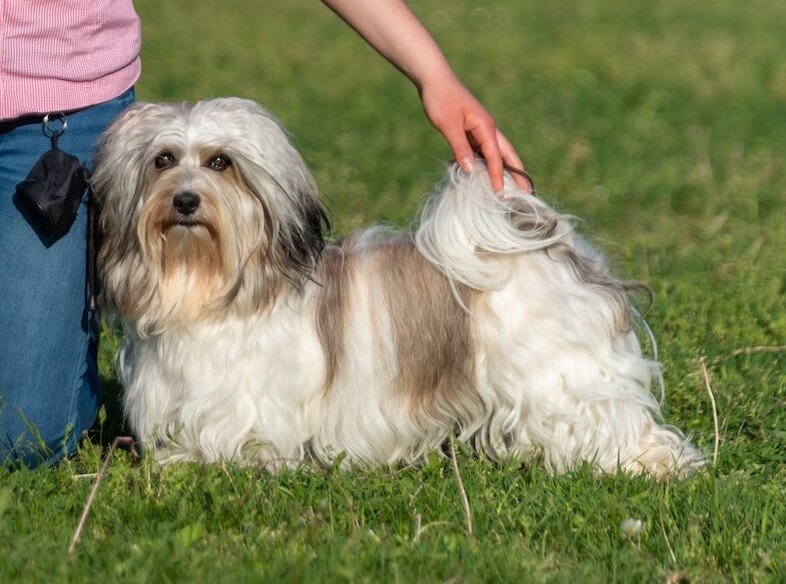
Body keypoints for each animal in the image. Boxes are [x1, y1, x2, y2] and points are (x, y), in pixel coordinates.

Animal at [93, 97, 704, 480]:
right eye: (163, 160)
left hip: (563, 375)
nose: (185, 199)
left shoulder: (248, 403)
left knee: (614, 420)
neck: (210, 284)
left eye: (220, 162)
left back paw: (652, 464)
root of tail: (549, 243)